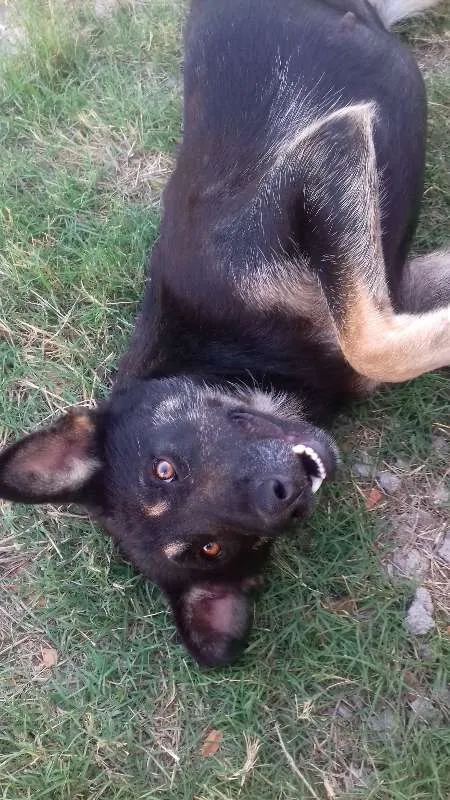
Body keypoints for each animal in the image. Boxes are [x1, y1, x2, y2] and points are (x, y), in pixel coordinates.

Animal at [0, 0, 450, 664]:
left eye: (163, 469)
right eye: (211, 548)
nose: (281, 495)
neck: (233, 357)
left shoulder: (325, 157)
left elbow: (368, 340)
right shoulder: (399, 287)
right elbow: (381, 342)